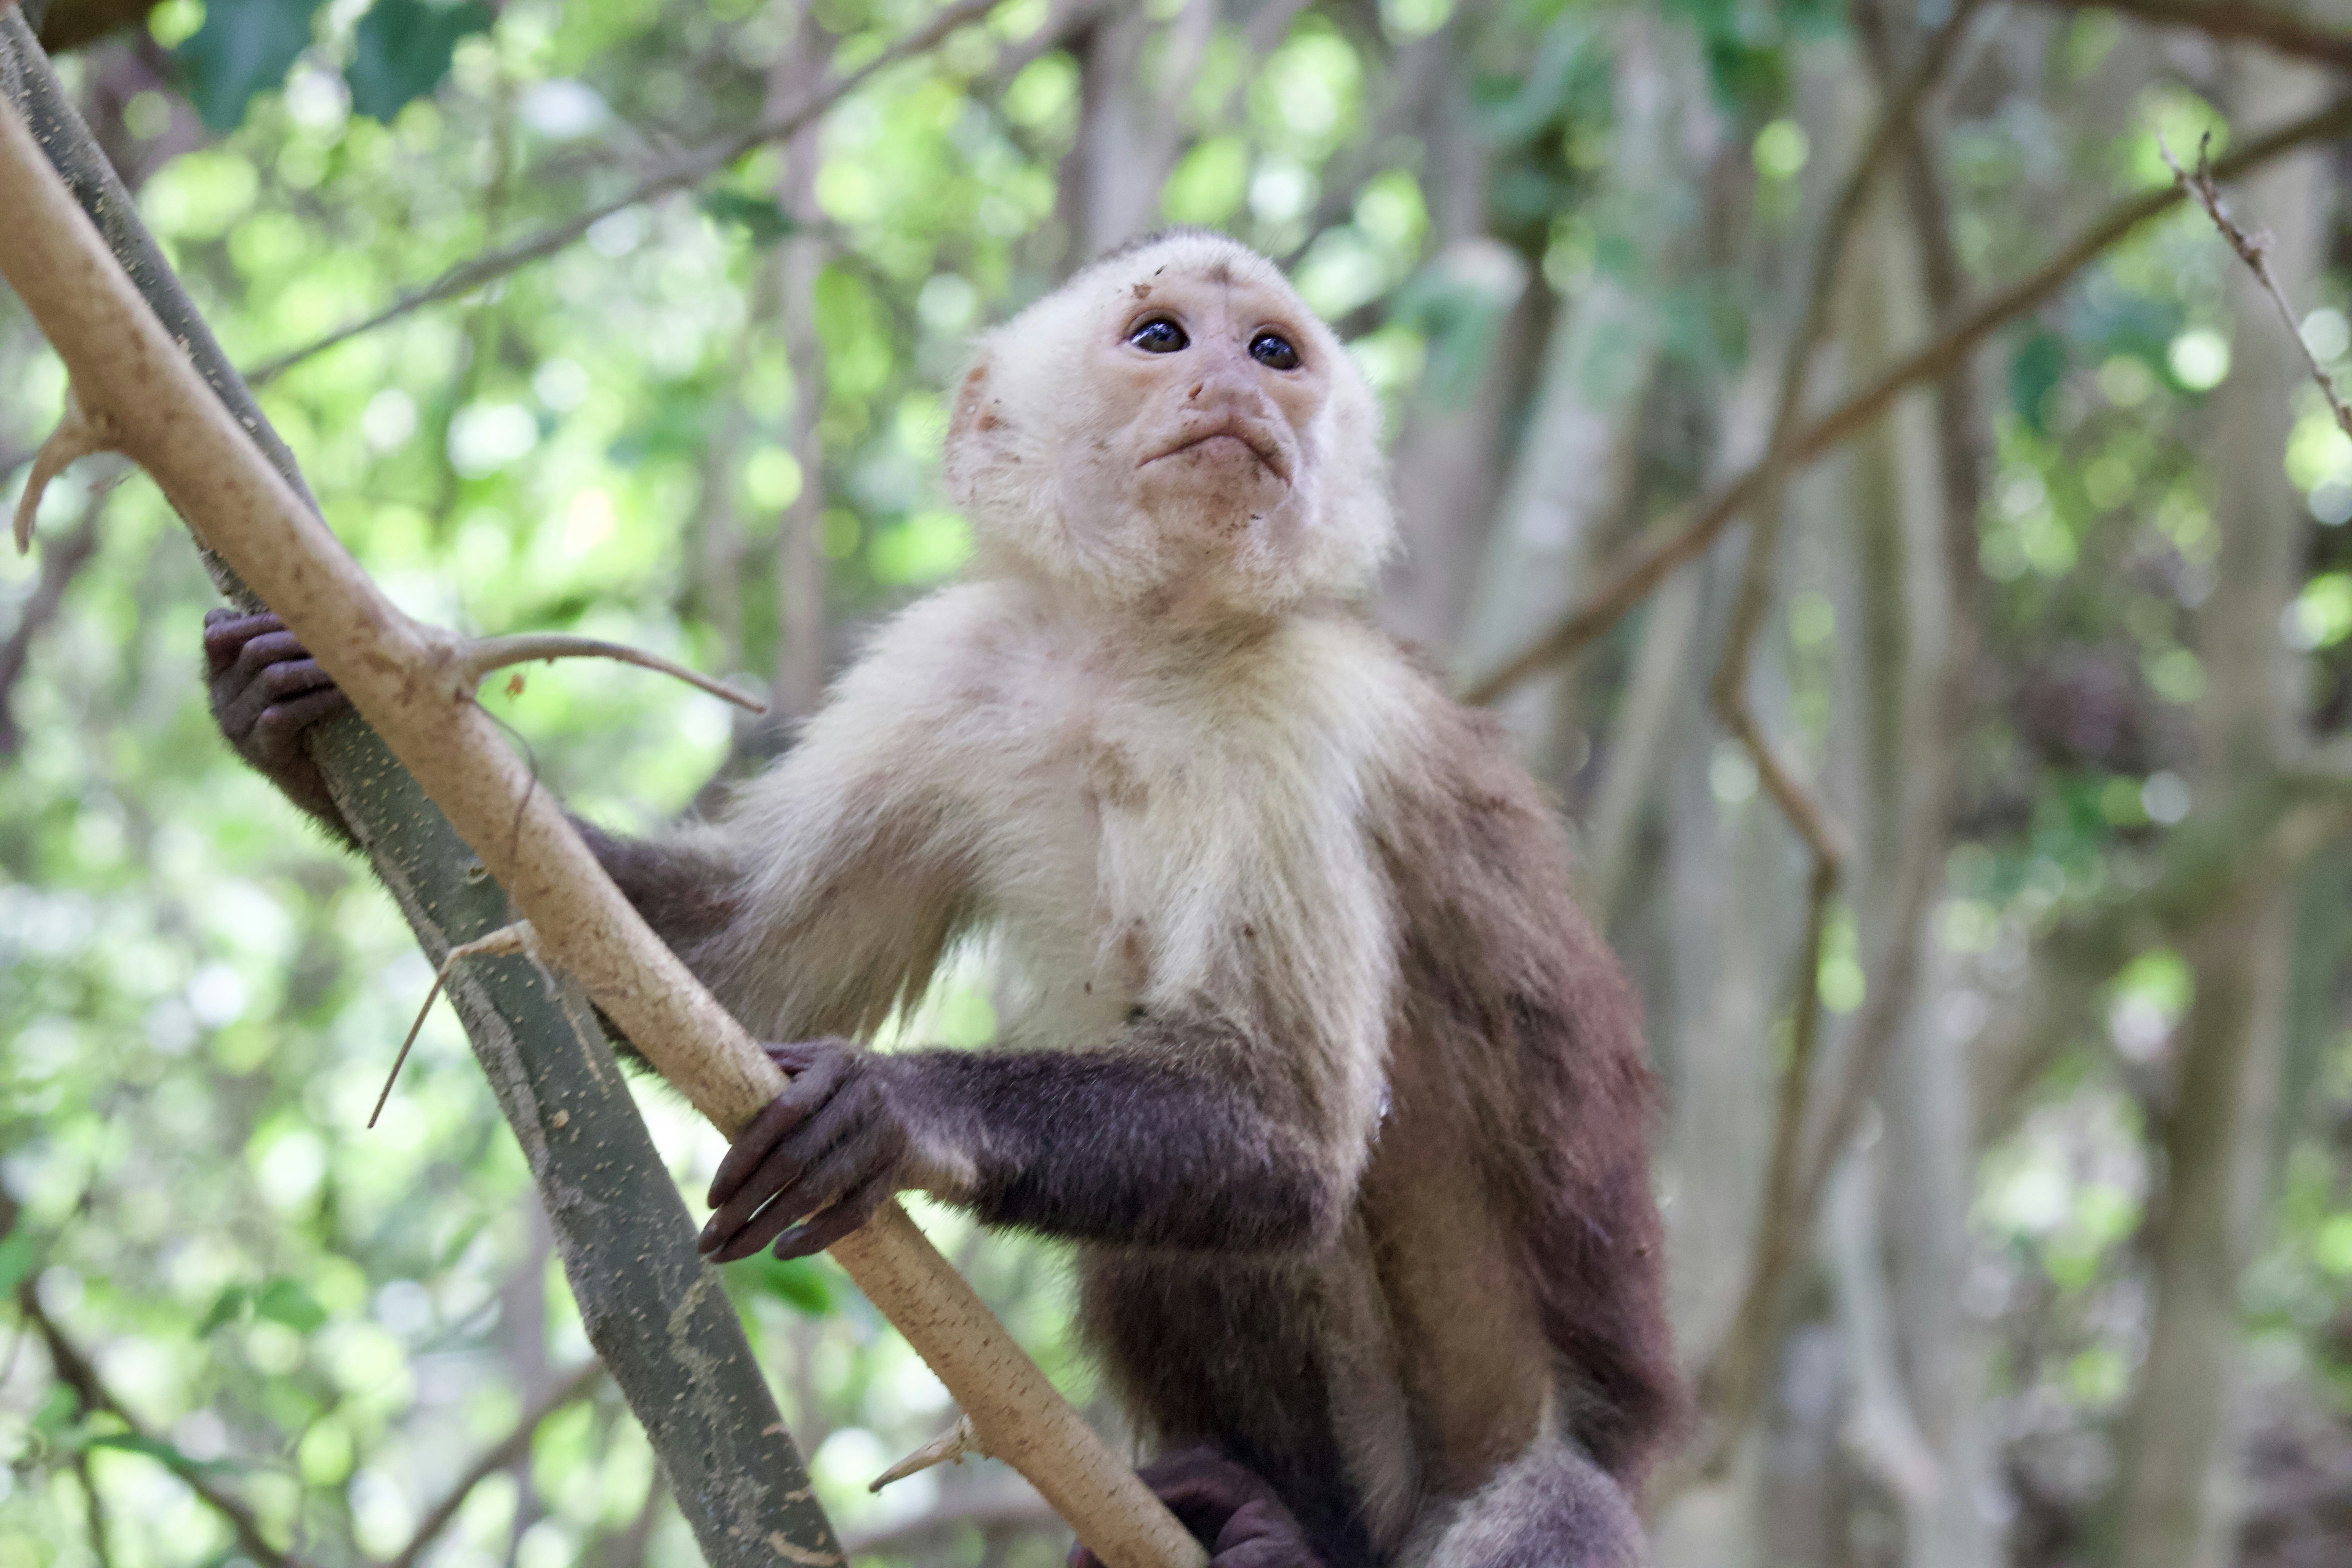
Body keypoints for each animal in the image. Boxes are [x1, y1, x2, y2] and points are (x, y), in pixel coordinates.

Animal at [209, 229, 1678, 1568]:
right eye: (1162, 340)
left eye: (1275, 353)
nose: (1233, 392)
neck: (1134, 649)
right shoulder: (954, 665)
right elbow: (727, 972)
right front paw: (314, 723)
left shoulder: (1298, 711)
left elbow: (1293, 1125)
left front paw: (895, 1109)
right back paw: (1270, 1524)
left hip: (1508, 1476)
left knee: (1539, 1496)